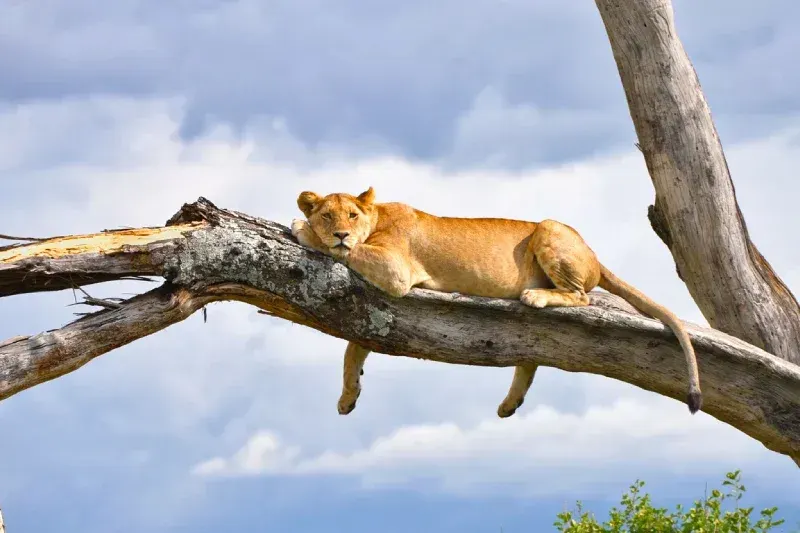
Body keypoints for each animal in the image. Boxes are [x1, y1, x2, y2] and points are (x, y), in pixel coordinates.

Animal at [291, 186, 702, 418]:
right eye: (327, 214)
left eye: (351, 215)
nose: (340, 232)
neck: (376, 219)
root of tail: (596, 258)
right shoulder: (372, 313)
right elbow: (352, 351)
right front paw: (347, 399)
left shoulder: (396, 271)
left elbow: (350, 252)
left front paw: (302, 230)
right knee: (531, 357)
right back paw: (509, 405)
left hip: (549, 227)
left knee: (582, 297)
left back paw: (535, 295)